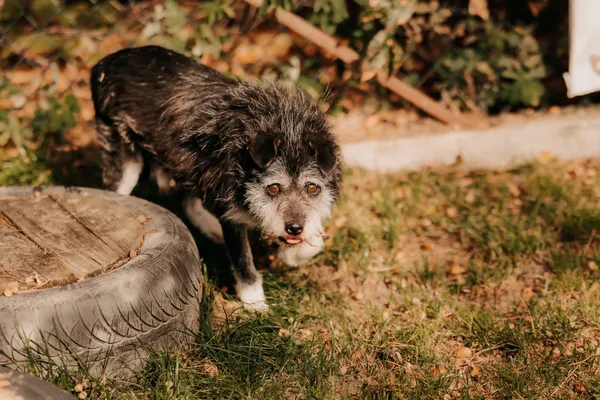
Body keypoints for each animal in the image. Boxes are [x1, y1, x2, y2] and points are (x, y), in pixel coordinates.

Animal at [89, 45, 342, 310]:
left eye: (312, 188)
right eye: (273, 188)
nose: (294, 228)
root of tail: (104, 63)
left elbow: (315, 242)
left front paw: (292, 255)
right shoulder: (231, 215)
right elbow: (244, 263)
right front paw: (255, 305)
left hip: (190, 163)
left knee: (187, 199)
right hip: (126, 165)